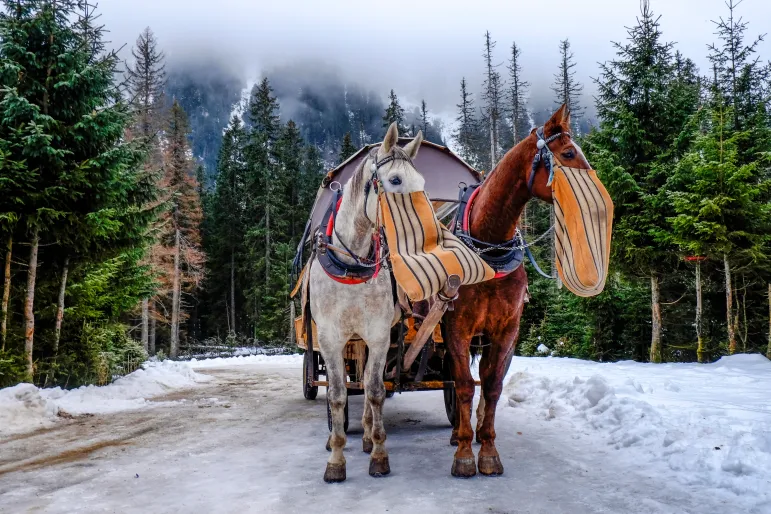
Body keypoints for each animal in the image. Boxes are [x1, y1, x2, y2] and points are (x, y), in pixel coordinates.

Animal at [310, 121, 428, 480]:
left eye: (423, 183)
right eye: (395, 180)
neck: (351, 265)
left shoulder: (378, 335)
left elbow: (375, 391)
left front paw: (378, 452)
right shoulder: (330, 338)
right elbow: (336, 395)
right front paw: (336, 459)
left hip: (364, 337)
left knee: (364, 384)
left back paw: (364, 435)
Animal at [444, 104, 612, 476]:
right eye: (569, 153)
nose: (598, 205)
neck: (488, 248)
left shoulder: (507, 329)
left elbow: (492, 385)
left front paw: (488, 449)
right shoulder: (457, 328)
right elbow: (463, 386)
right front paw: (464, 454)